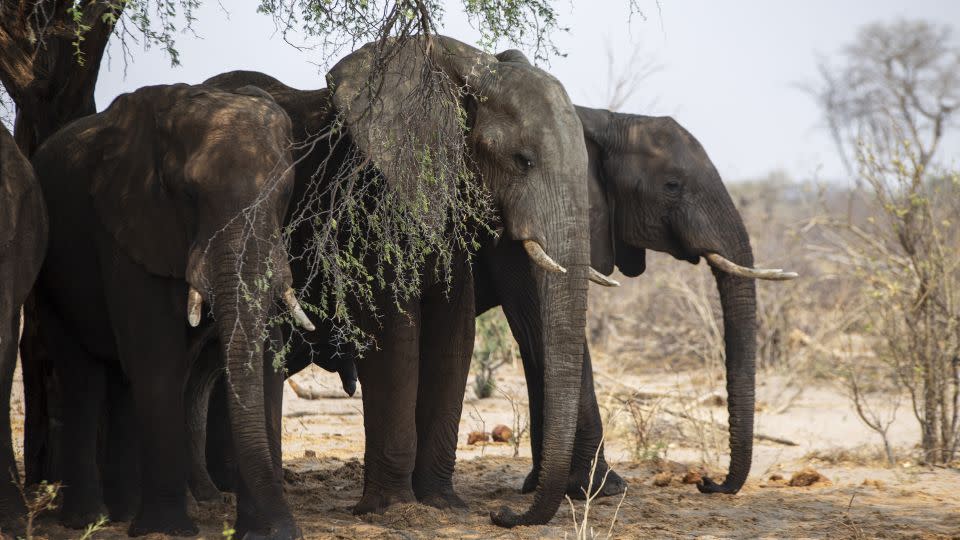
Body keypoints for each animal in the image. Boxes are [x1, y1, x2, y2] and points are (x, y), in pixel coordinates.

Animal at [31, 82, 312, 536]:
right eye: (189, 194)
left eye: (285, 192)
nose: (290, 529)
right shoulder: (130, 222)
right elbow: (156, 355)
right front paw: (169, 529)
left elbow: (270, 354)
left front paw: (259, 531)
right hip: (49, 272)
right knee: (83, 376)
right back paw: (88, 519)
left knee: (124, 379)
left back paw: (124, 513)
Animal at [195, 35, 596, 528]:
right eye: (523, 161)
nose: (502, 513)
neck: (462, 67)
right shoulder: (373, 197)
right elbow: (394, 331)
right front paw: (393, 510)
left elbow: (455, 335)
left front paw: (443, 504)